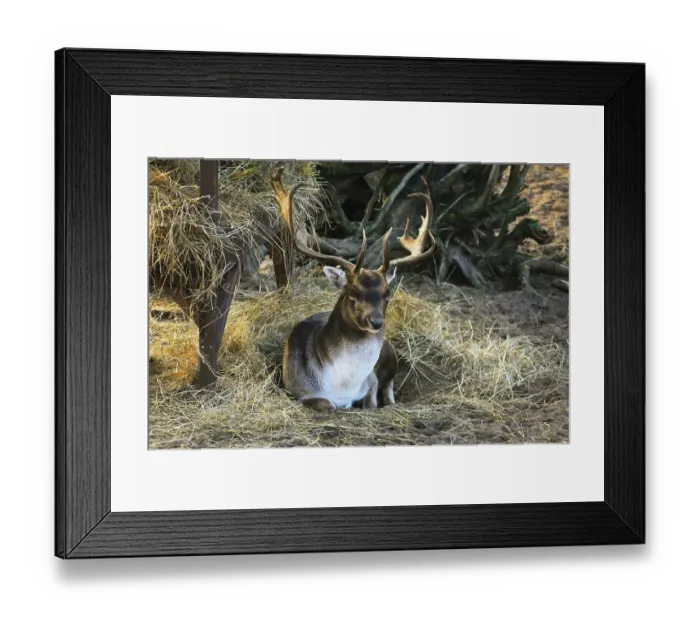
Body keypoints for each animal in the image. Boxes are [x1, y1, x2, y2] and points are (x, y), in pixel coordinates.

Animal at [273, 171, 436, 412]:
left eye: (387, 295)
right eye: (352, 293)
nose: (376, 321)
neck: (342, 385)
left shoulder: (371, 381)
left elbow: (372, 400)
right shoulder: (298, 389)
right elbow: (327, 404)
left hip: (392, 355)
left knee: (390, 384)